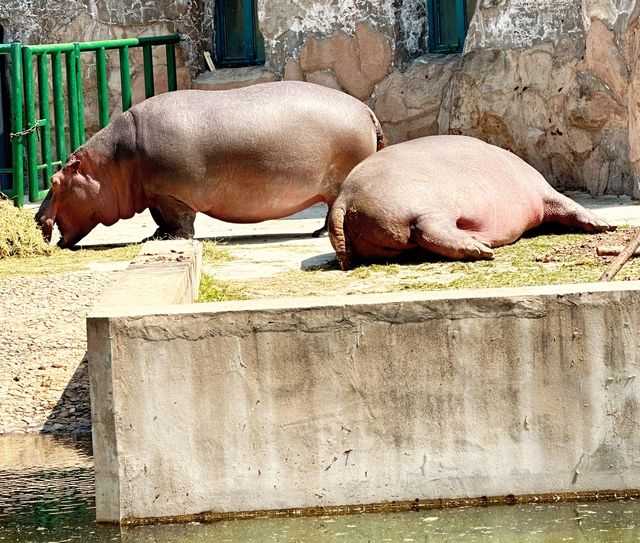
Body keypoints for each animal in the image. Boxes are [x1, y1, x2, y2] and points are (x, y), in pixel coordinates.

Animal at [35, 82, 384, 248]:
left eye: (54, 181)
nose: (36, 218)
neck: (112, 164)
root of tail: (365, 109)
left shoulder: (171, 195)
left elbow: (180, 222)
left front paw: (173, 239)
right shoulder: (154, 194)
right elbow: (160, 219)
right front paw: (154, 238)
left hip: (339, 184)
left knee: (333, 207)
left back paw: (318, 233)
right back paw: (316, 231)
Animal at [330, 136, 616, 272]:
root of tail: (343, 198)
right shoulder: (543, 191)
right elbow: (568, 204)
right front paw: (606, 224)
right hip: (425, 209)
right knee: (430, 231)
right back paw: (481, 249)